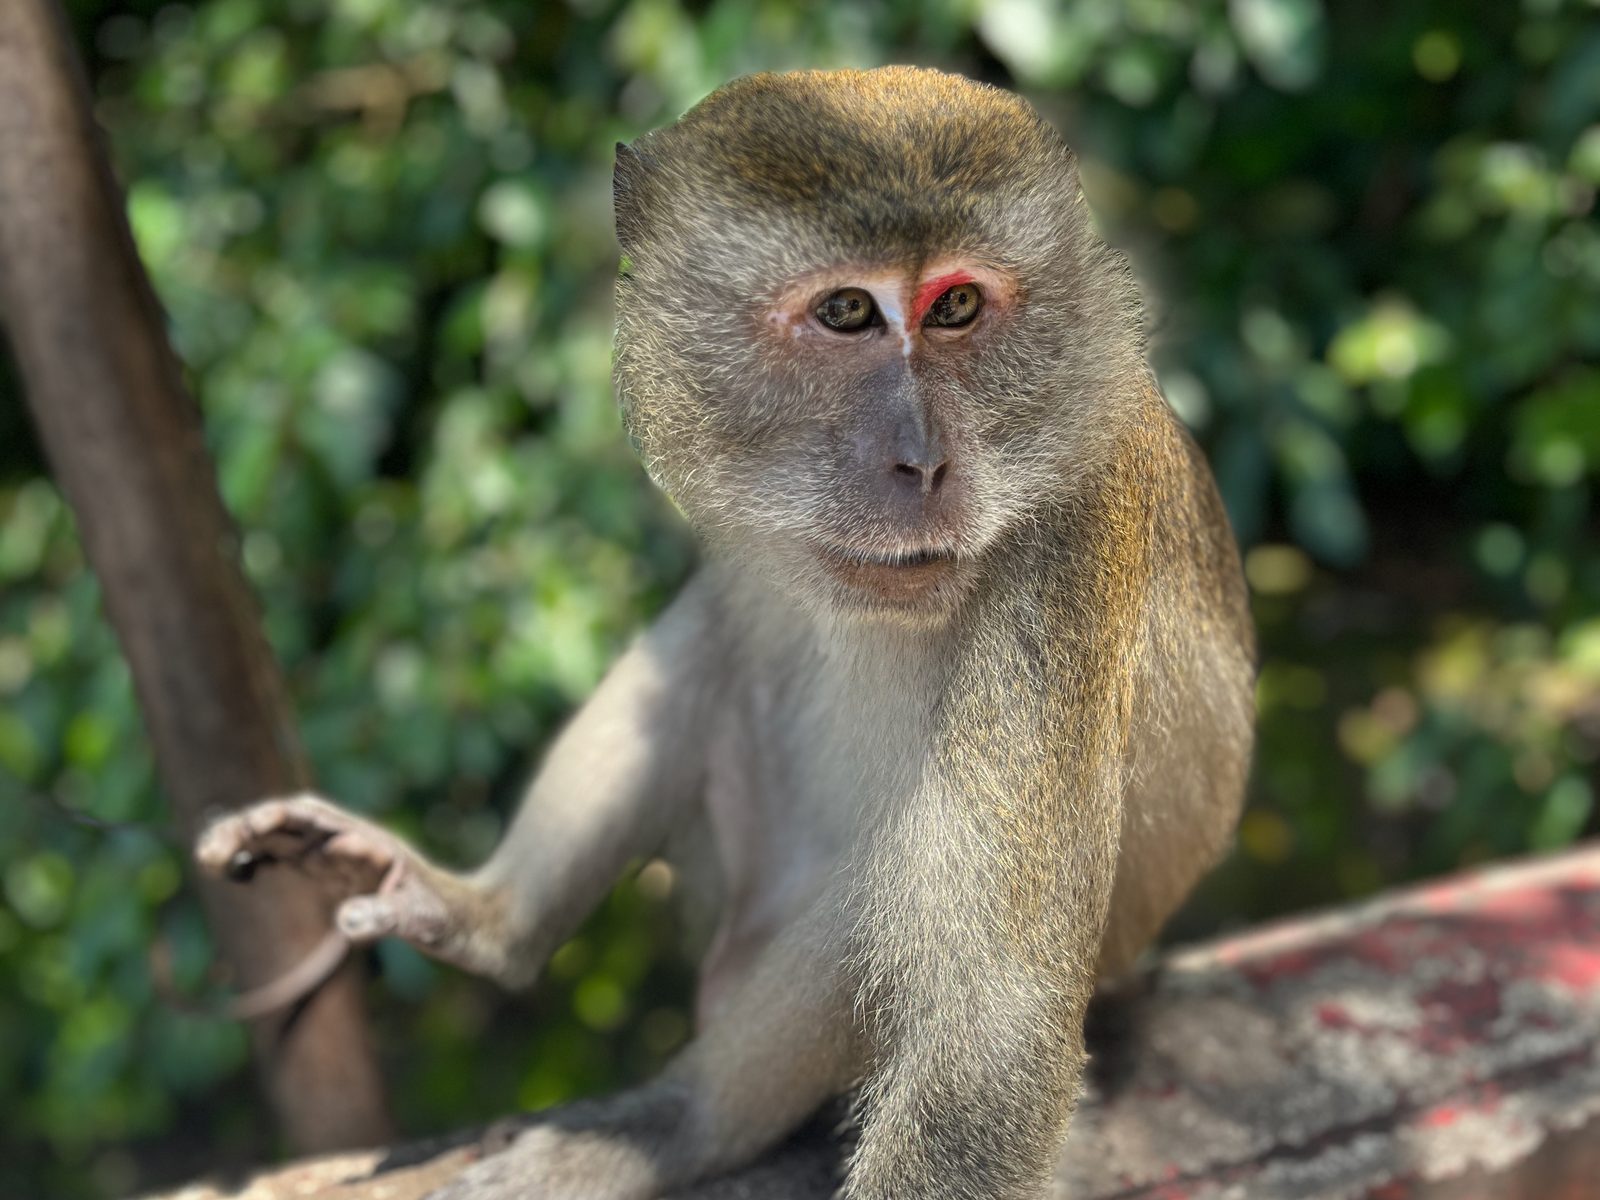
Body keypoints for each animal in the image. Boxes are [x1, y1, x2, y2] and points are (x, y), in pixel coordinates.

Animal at [196, 66, 1255, 1200]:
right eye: (848, 311)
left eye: (959, 306)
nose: (924, 463)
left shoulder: (1066, 547)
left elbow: (988, 1033)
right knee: (712, 642)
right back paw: (488, 922)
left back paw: (675, 1124)